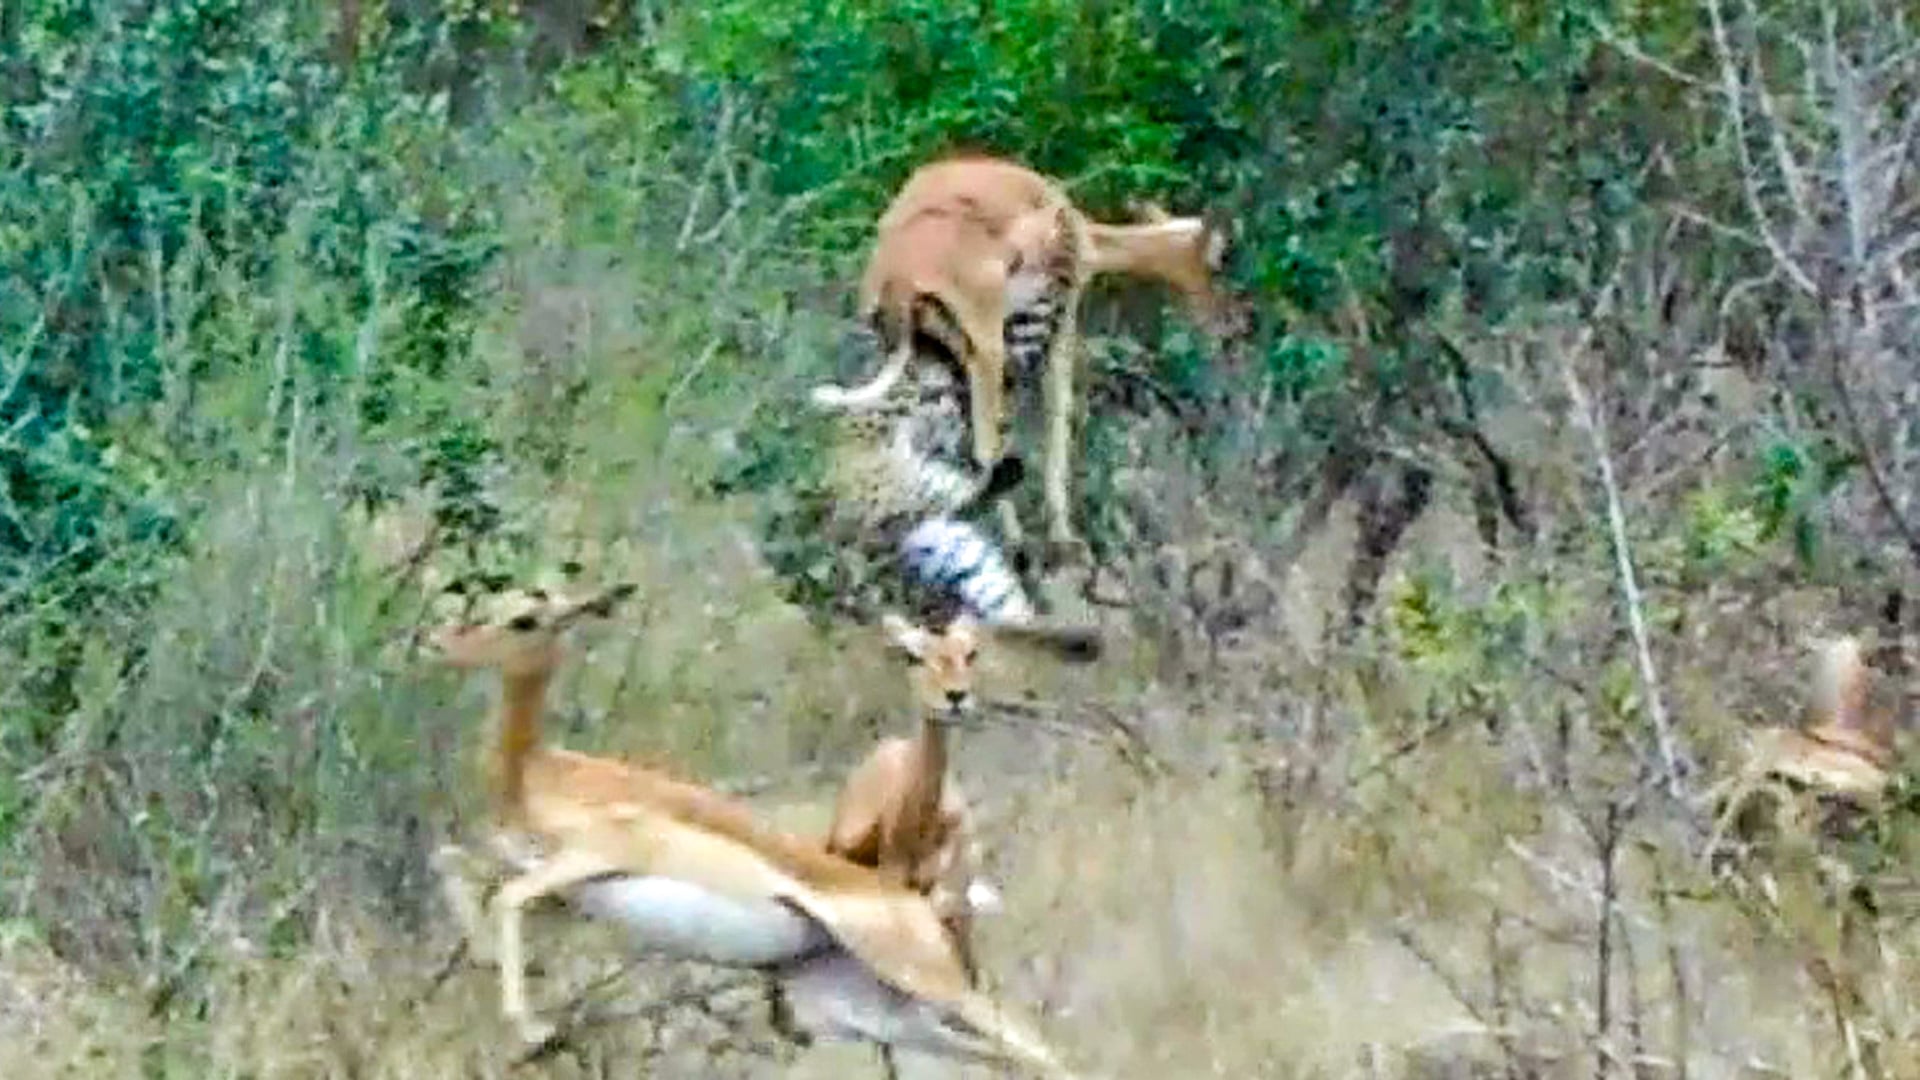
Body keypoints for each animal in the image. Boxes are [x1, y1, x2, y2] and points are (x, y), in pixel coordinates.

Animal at [420, 580, 1075, 1076]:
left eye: (526, 618)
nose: (440, 642)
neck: (541, 772)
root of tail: (908, 894)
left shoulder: (595, 857)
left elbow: (506, 898)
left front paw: (536, 1030)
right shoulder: (556, 889)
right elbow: (452, 863)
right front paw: (501, 971)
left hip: (937, 985)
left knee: (1040, 1048)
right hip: (873, 1011)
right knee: (1015, 1058)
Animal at [819, 153, 1248, 564]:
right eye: (1217, 263)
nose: (1238, 325)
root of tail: (897, 277)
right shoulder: (1060, 325)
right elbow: (1058, 420)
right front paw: (1064, 538)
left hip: (927, 364)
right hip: (984, 354)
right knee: (983, 449)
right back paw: (1014, 543)